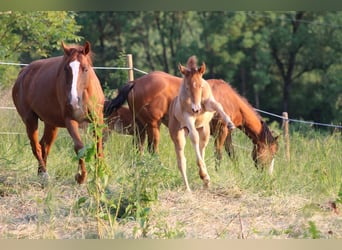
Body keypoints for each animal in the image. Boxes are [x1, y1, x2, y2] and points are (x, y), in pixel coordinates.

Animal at [12, 41, 104, 184]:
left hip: (51, 124)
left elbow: (98, 148)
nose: (73, 102)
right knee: (36, 146)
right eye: (66, 69)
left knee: (44, 145)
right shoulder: (70, 120)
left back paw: (41, 174)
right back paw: (44, 174)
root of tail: (23, 73)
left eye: (85, 69)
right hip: (30, 120)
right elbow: (79, 147)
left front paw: (98, 176)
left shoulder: (97, 121)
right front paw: (81, 177)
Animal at [105, 71, 280, 173]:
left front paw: (238, 172)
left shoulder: (226, 133)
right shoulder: (222, 131)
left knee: (138, 148)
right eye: (272, 152)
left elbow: (231, 154)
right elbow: (219, 154)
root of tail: (136, 82)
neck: (230, 101)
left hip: (141, 126)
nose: (267, 174)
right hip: (153, 126)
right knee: (152, 149)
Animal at [168, 55, 235, 190]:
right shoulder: (188, 117)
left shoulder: (209, 103)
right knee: (182, 161)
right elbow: (194, 137)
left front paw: (230, 123)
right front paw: (203, 175)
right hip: (179, 135)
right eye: (187, 87)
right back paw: (191, 187)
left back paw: (206, 180)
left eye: (201, 86)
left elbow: (218, 105)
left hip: (204, 131)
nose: (196, 109)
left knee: (201, 148)